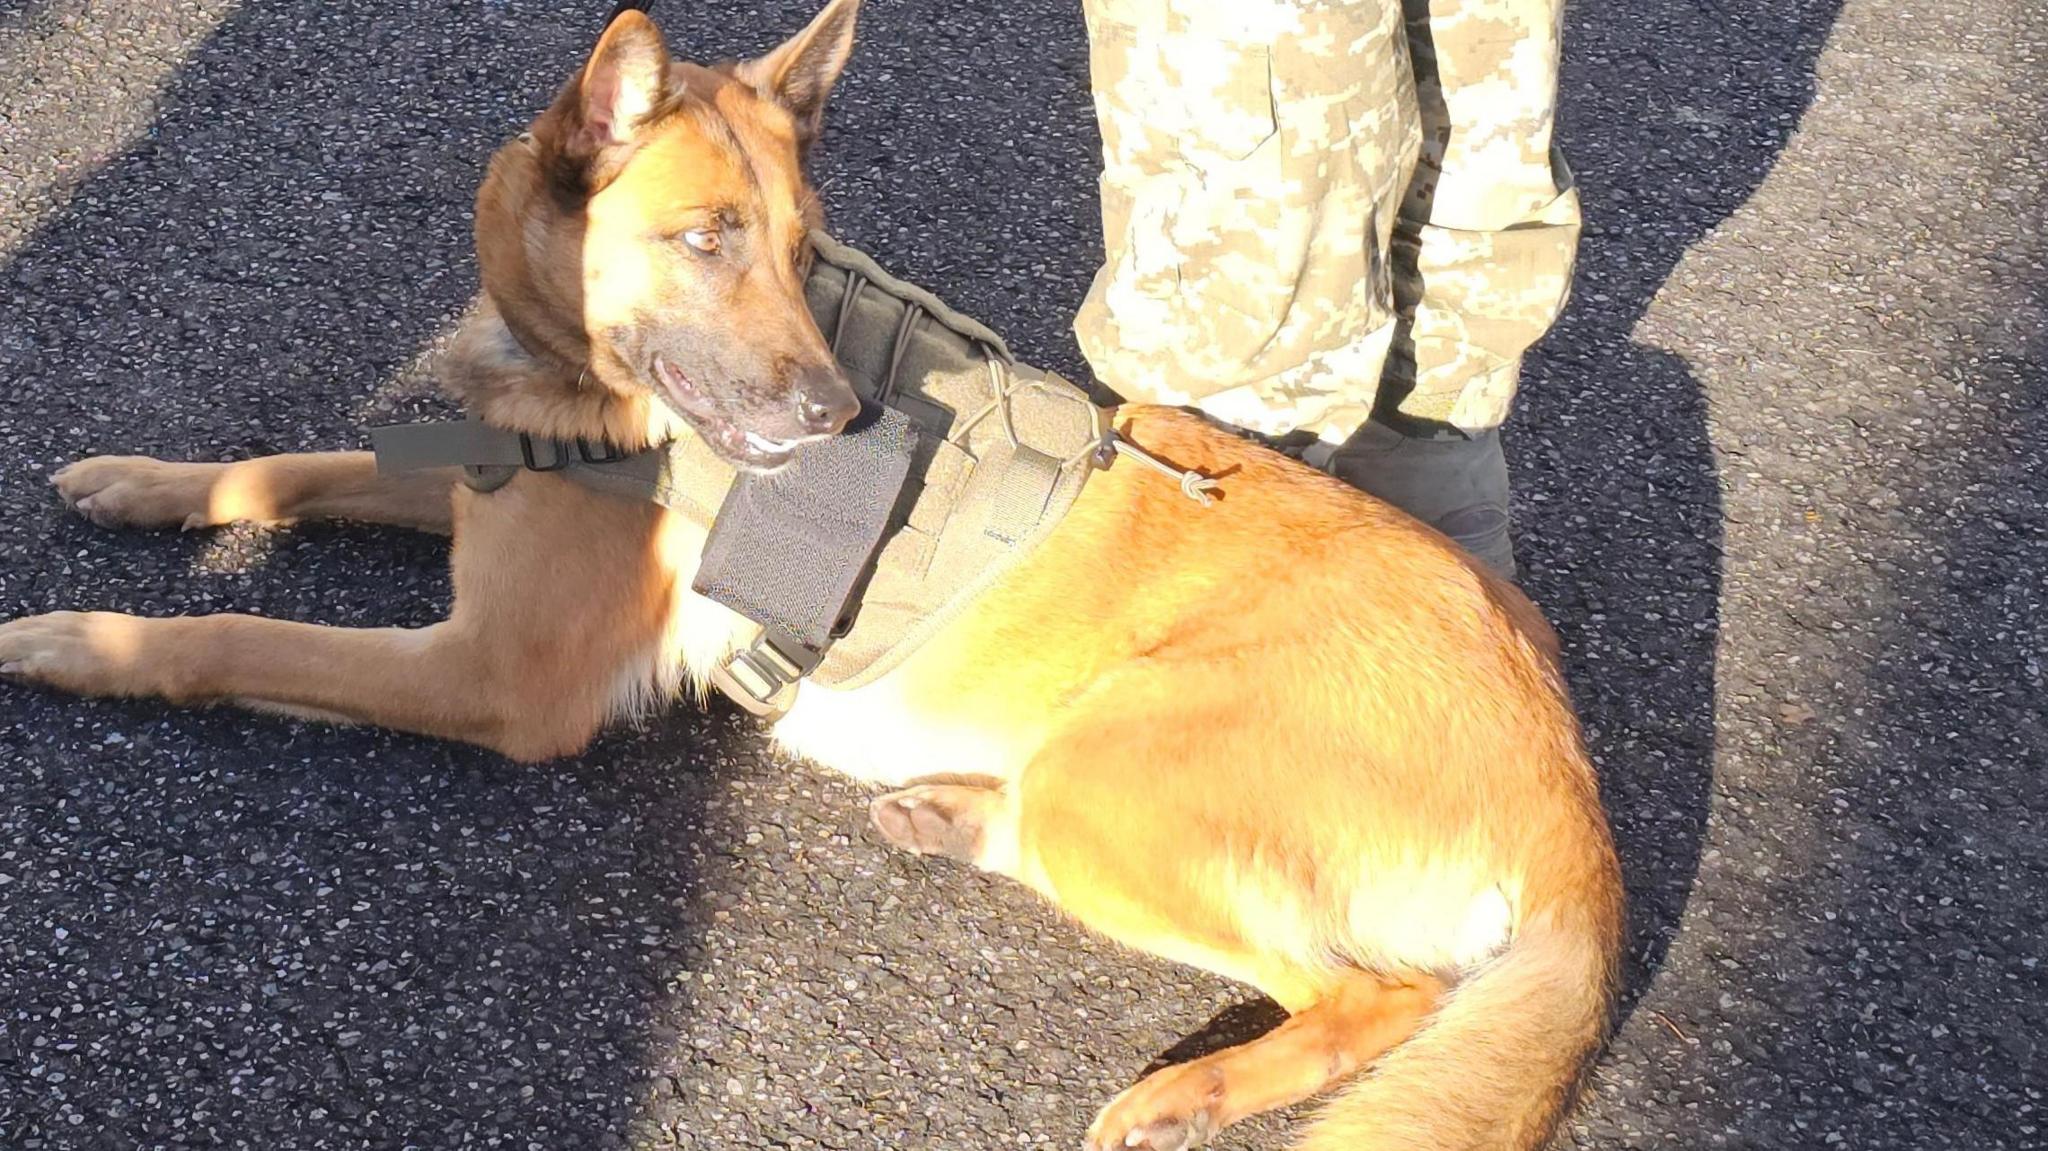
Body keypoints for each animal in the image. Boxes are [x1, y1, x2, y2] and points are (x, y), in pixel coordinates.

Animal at [4, 4, 1630, 1138]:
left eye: (800, 249)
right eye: (707, 239)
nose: (836, 418)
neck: (579, 386)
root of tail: (1569, 787)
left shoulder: (494, 673)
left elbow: (234, 632)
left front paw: (84, 639)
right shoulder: (466, 498)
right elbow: (291, 464)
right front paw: (140, 483)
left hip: (1116, 777)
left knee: (1381, 993)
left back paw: (1190, 1093)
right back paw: (953, 816)